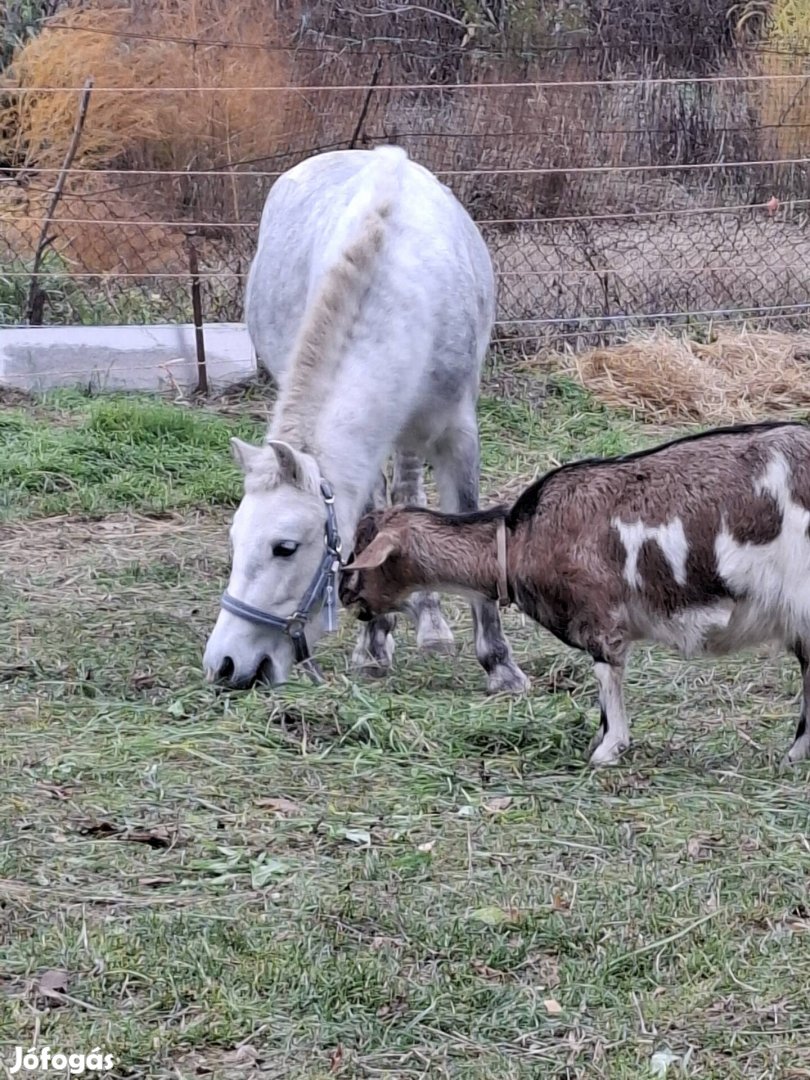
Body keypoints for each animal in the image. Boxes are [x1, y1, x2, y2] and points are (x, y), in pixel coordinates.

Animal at [206, 145, 529, 691]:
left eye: (285, 547)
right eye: (233, 540)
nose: (226, 665)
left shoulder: (458, 435)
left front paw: (500, 665)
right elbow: (370, 528)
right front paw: (373, 645)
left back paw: (432, 622)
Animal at [339, 416, 810, 764]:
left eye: (363, 552)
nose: (345, 596)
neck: (518, 541)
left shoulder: (599, 616)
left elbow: (606, 676)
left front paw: (608, 750)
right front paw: (600, 742)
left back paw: (794, 754)